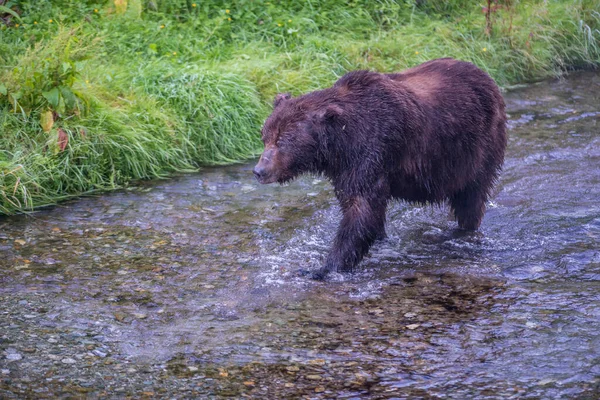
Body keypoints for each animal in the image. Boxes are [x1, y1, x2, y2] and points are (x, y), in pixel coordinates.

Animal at [253, 57, 506, 280]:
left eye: (283, 141)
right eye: (265, 136)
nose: (259, 171)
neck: (340, 145)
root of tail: (486, 76)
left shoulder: (373, 150)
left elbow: (361, 210)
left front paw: (323, 268)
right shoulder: (346, 169)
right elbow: (364, 211)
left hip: (477, 149)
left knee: (471, 199)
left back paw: (462, 232)